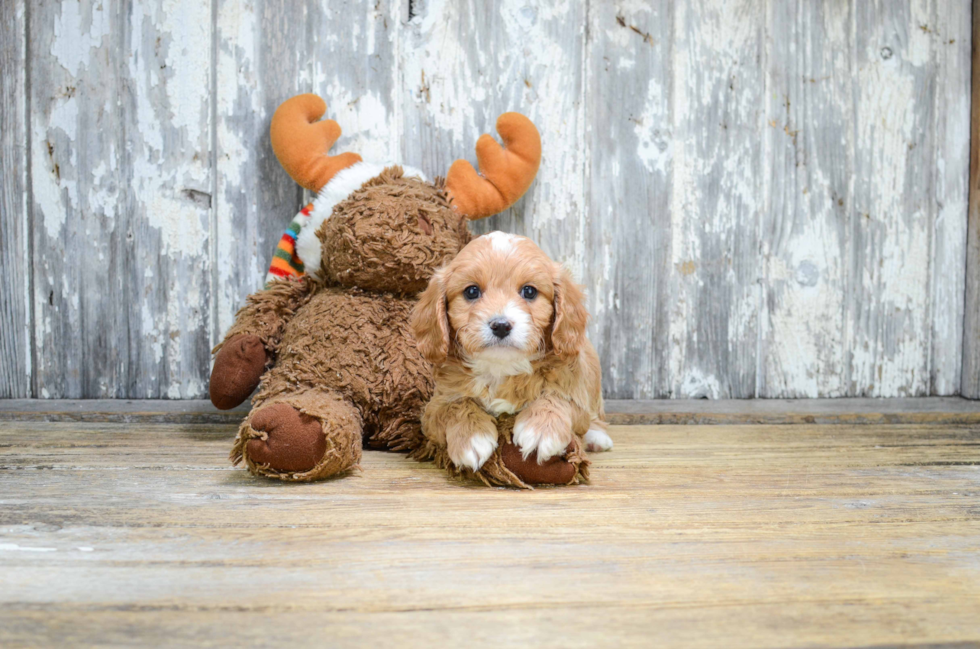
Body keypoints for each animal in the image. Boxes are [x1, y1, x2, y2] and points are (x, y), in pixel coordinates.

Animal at [408, 230, 608, 474]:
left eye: (529, 291)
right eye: (472, 291)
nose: (501, 325)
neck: (501, 368)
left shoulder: (573, 390)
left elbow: (557, 397)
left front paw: (540, 430)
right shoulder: (434, 409)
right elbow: (455, 405)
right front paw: (472, 437)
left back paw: (597, 436)